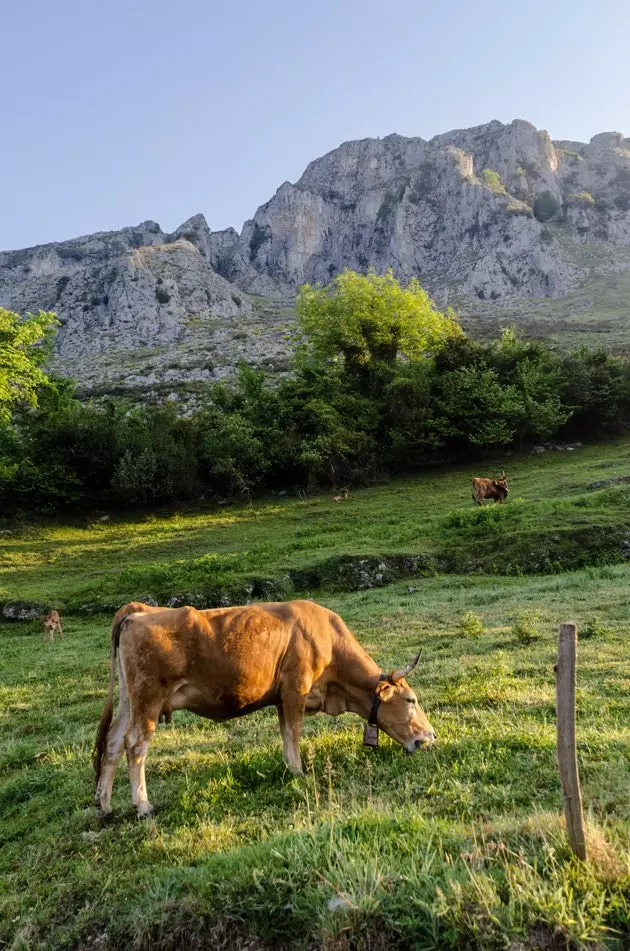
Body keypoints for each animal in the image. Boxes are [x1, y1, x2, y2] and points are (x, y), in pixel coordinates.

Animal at [95, 604, 440, 820]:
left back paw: (104, 806)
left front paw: (290, 768)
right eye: (411, 700)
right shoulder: (295, 689)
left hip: (129, 700)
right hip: (148, 700)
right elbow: (294, 732)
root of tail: (137, 611)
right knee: (135, 745)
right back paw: (142, 805)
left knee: (111, 744)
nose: (431, 736)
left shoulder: (280, 698)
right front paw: (298, 772)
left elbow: (285, 733)